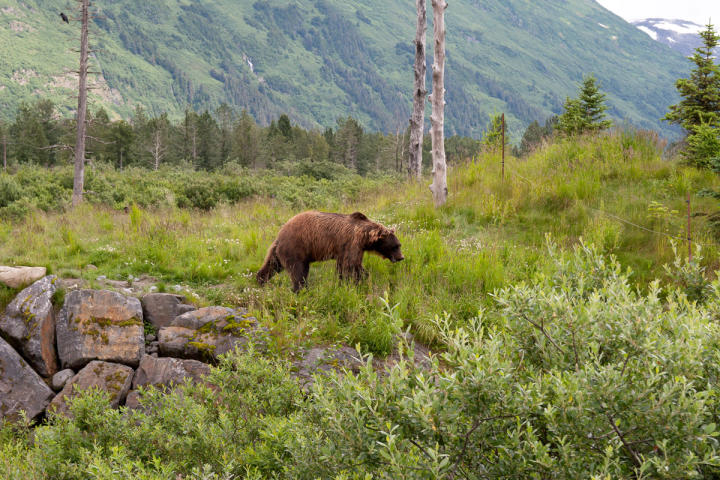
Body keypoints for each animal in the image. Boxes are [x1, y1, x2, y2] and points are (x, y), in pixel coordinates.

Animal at [258, 211, 404, 292]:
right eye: (396, 246)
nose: (401, 257)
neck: (365, 237)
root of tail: (279, 235)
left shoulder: (346, 249)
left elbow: (343, 267)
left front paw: (343, 283)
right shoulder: (351, 243)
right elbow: (351, 265)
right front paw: (361, 279)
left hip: (279, 252)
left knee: (272, 265)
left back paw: (261, 280)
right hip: (296, 248)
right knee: (298, 272)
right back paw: (301, 289)